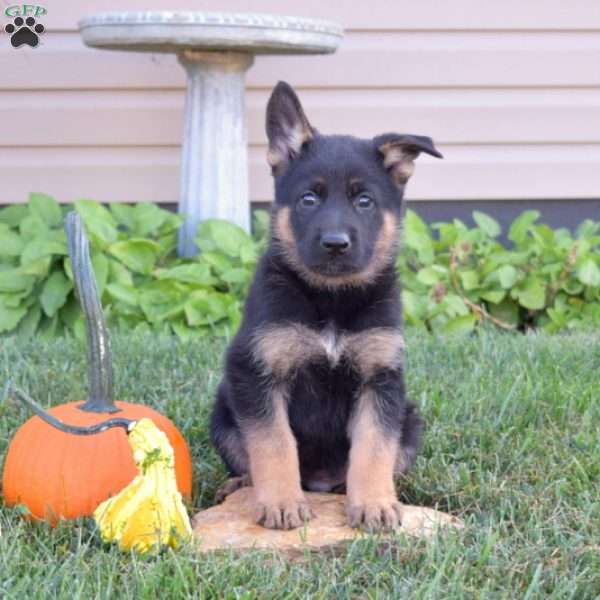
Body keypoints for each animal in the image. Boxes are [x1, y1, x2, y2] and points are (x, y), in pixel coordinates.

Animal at [210, 81, 440, 528]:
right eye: (308, 200)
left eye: (364, 201)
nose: (335, 244)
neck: (331, 299)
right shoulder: (255, 373)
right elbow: (274, 442)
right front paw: (281, 502)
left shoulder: (380, 380)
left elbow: (374, 448)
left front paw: (374, 503)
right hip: (223, 409)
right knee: (246, 458)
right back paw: (241, 486)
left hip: (410, 417)